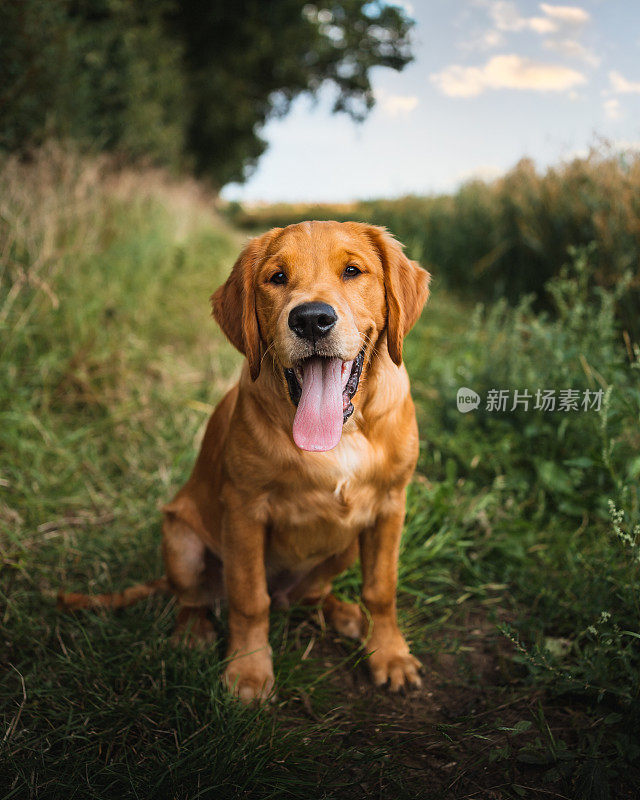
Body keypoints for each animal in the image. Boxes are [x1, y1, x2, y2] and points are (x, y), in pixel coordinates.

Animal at [60, 222, 430, 704]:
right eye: (276, 278)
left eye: (353, 270)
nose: (311, 319)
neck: (342, 435)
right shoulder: (244, 511)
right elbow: (250, 600)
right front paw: (249, 673)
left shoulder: (389, 508)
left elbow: (381, 589)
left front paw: (389, 655)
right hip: (180, 539)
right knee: (198, 597)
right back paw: (192, 633)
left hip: (347, 543)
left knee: (307, 596)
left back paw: (341, 614)